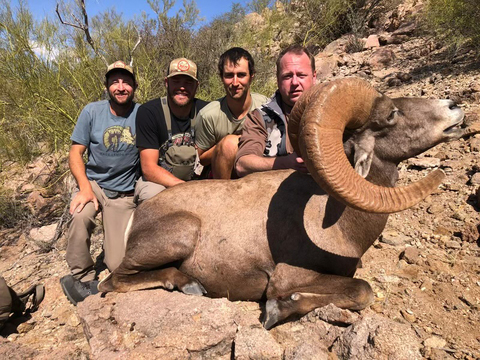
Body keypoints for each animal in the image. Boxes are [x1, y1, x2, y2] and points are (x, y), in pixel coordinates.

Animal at [100, 78, 464, 330]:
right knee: (113, 281)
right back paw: (188, 285)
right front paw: (279, 310)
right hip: (182, 232)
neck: (339, 221)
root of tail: (138, 218)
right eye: (391, 115)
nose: (455, 105)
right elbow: (362, 290)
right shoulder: (287, 276)